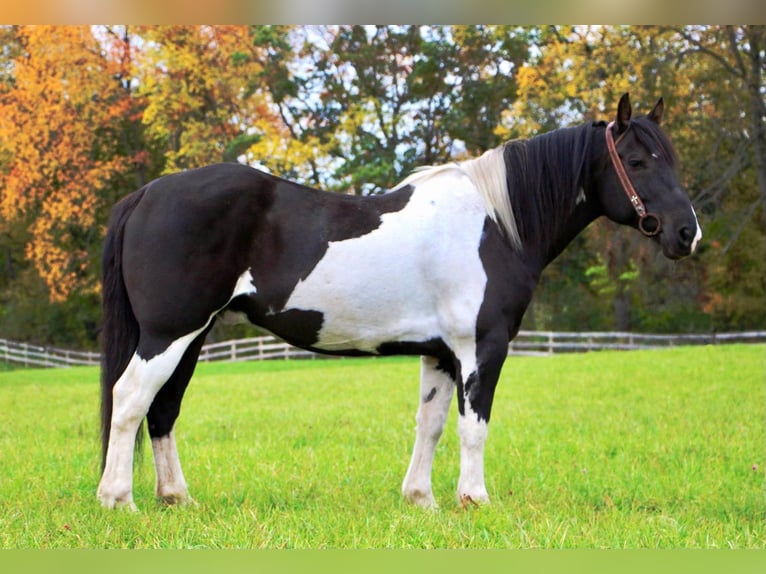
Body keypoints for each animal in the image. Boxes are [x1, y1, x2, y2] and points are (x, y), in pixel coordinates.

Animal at [99, 94, 704, 512]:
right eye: (637, 160)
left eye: (670, 158)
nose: (686, 234)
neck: (495, 224)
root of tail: (149, 193)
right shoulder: (481, 348)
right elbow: (473, 425)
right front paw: (474, 500)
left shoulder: (440, 352)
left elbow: (430, 424)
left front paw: (422, 500)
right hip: (169, 333)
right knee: (130, 400)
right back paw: (118, 500)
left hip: (192, 335)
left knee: (162, 409)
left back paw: (177, 498)